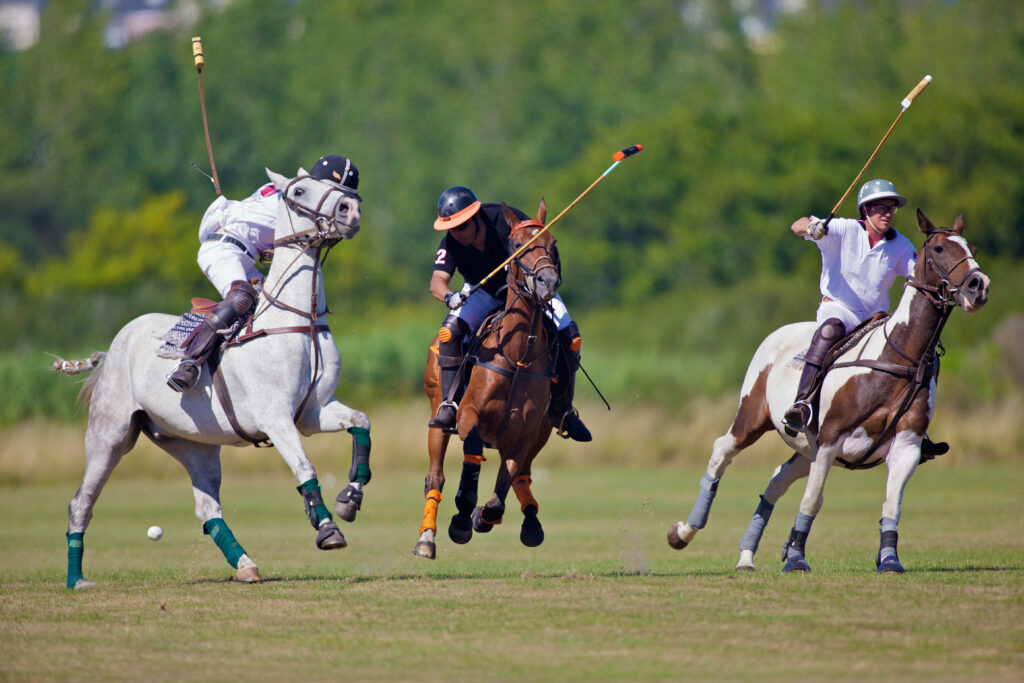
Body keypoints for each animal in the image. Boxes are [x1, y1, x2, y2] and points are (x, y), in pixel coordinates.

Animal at [58, 167, 374, 589]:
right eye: (300, 191)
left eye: (345, 188)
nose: (350, 210)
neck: (297, 321)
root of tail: (112, 350)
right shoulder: (275, 418)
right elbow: (306, 468)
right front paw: (327, 529)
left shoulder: (312, 413)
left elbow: (361, 422)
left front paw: (350, 498)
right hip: (109, 435)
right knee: (81, 502)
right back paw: (76, 579)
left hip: (195, 444)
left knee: (208, 509)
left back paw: (246, 565)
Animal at [413, 200, 561, 557]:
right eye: (516, 245)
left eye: (553, 244)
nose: (548, 282)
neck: (518, 357)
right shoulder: (470, 416)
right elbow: (471, 458)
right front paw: (462, 517)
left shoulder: (524, 435)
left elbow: (503, 488)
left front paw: (482, 516)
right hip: (436, 413)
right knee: (435, 476)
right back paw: (426, 538)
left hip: (543, 432)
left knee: (523, 476)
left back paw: (530, 523)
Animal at [667, 210, 987, 573]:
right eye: (938, 248)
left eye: (972, 247)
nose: (979, 285)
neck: (899, 357)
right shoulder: (832, 436)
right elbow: (813, 499)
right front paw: (795, 558)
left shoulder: (906, 444)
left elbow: (892, 504)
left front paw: (889, 559)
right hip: (753, 417)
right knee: (722, 449)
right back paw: (684, 532)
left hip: (806, 446)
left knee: (777, 479)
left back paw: (746, 557)